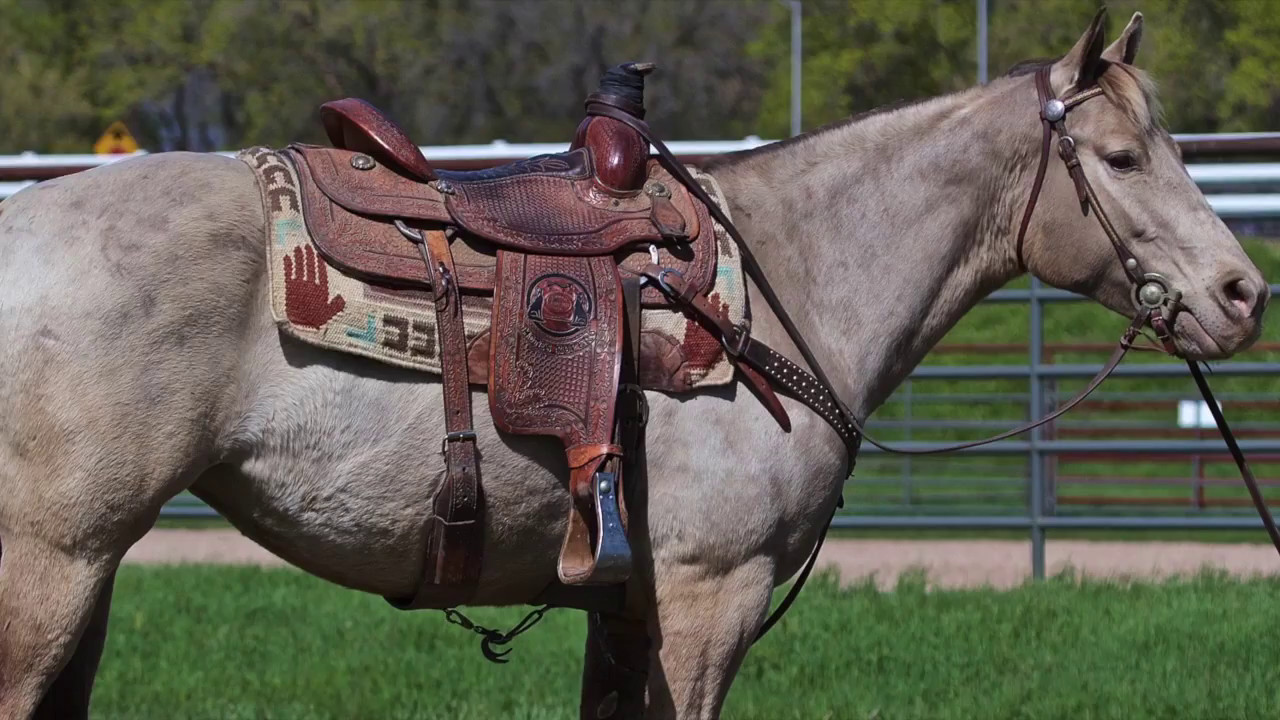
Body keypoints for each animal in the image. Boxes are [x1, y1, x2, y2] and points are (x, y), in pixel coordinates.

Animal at [0, 10, 1268, 720]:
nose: (1239, 296)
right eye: (1120, 156)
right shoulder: (711, 595)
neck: (791, 278)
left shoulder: (626, 608)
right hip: (49, 569)